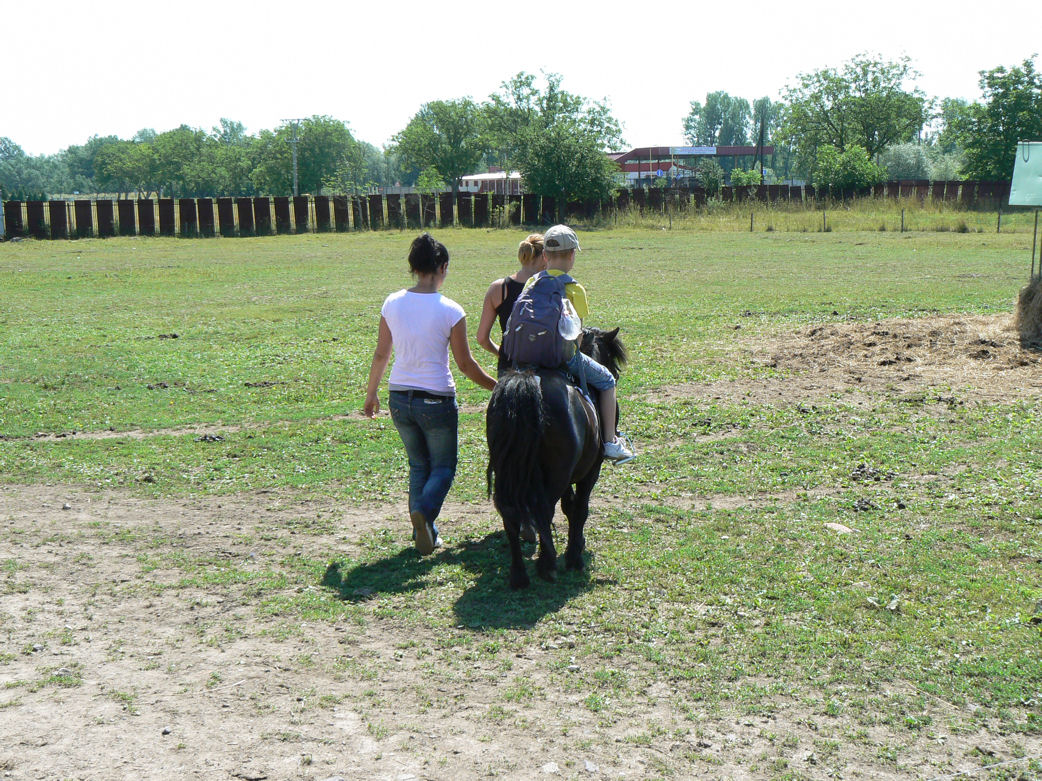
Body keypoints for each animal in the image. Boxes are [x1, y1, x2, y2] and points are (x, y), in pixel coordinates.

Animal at [486, 327, 627, 589]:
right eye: (612, 361)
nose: (615, 375)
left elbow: (569, 506)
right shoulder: (589, 471)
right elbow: (580, 508)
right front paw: (574, 556)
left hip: (508, 470)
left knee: (511, 513)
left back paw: (519, 574)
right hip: (556, 473)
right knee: (544, 510)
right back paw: (547, 564)